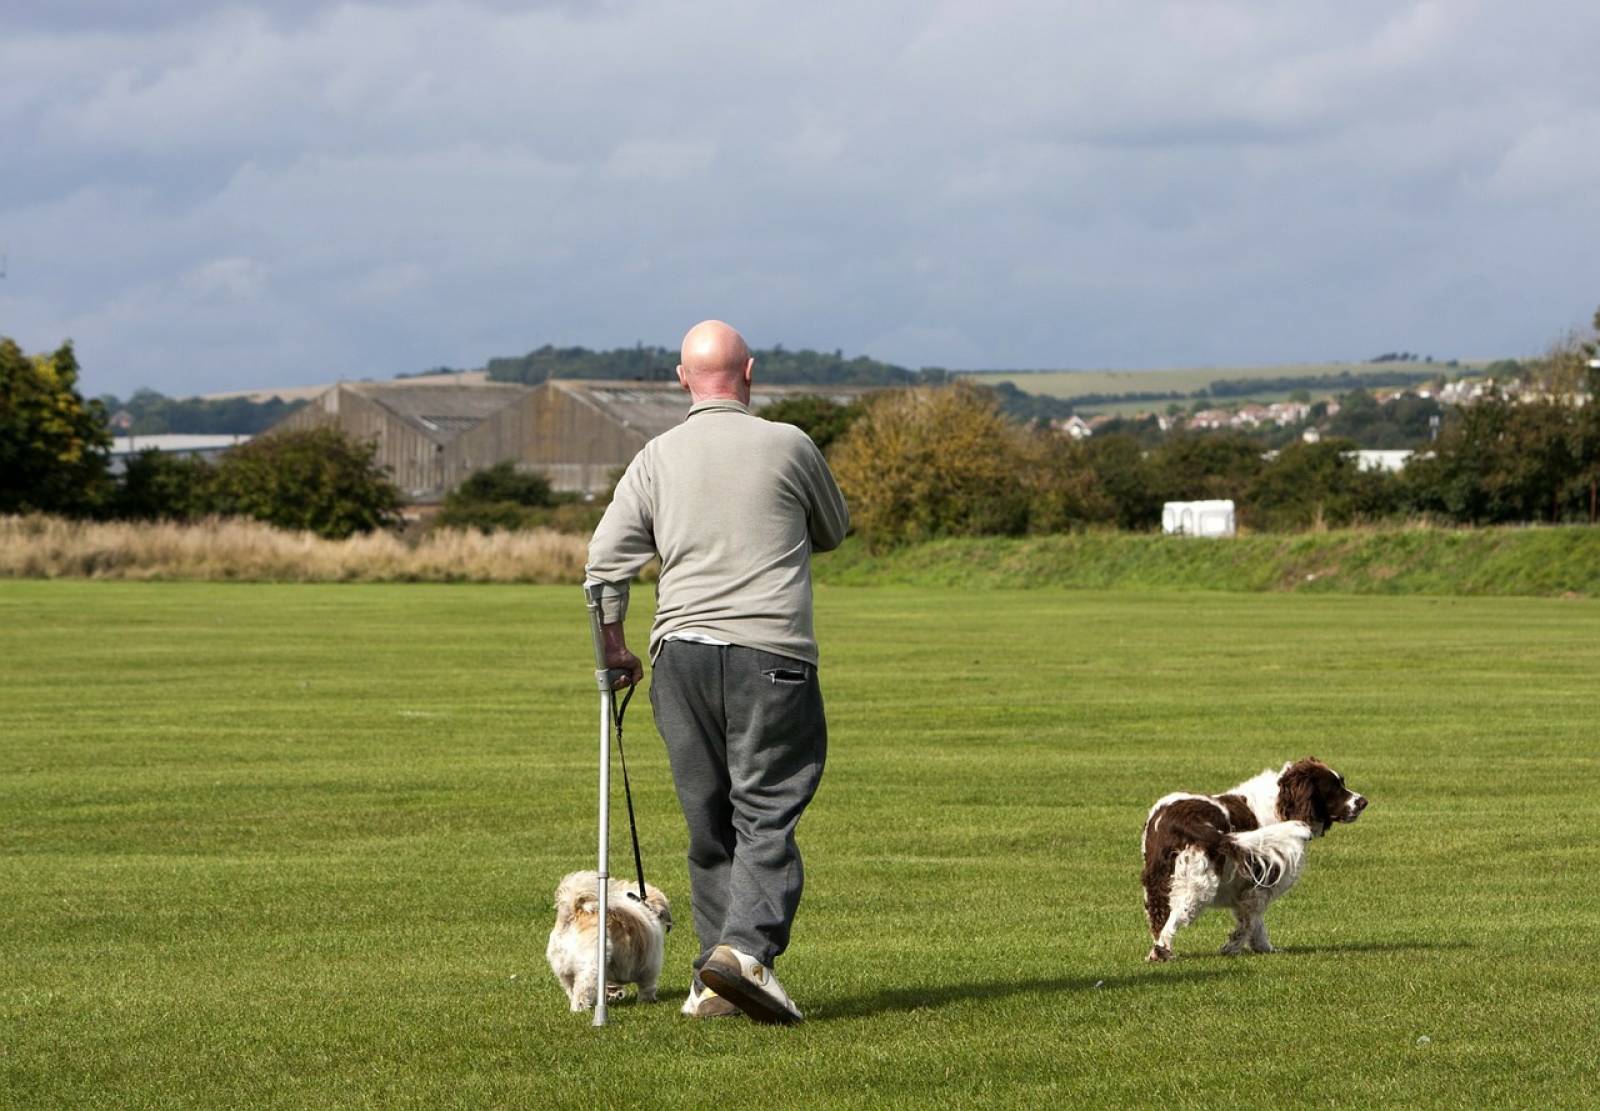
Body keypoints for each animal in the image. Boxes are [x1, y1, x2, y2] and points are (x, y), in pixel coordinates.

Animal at [547, 870, 672, 1018]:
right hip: (591, 968)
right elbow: (647, 986)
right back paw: (580, 1009)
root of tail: (573, 913)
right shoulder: (650, 967)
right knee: (582, 991)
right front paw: (646, 1001)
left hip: (564, 971)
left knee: (571, 989)